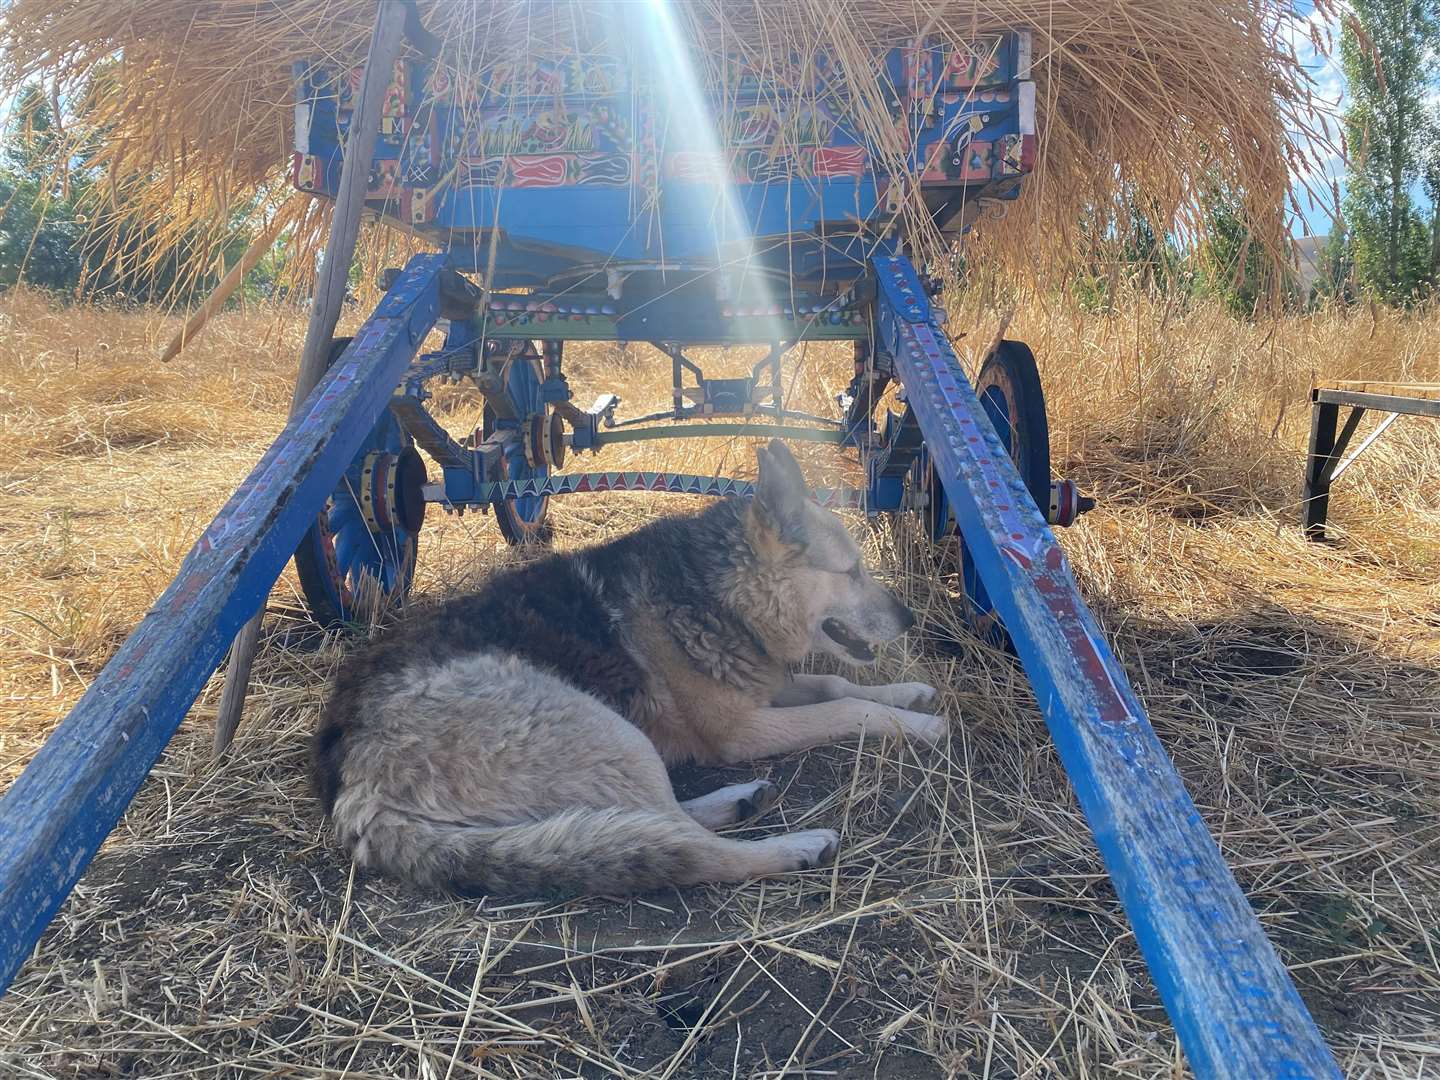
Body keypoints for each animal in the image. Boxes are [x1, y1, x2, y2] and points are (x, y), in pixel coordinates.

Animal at [309, 437, 950, 898]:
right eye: (852, 572)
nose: (911, 618)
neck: (723, 593)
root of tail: (353, 789)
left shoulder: (765, 689)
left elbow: (835, 682)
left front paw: (911, 693)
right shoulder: (744, 729)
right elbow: (849, 706)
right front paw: (919, 725)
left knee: (644, 822)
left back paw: (738, 802)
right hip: (610, 733)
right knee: (677, 845)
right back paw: (791, 846)